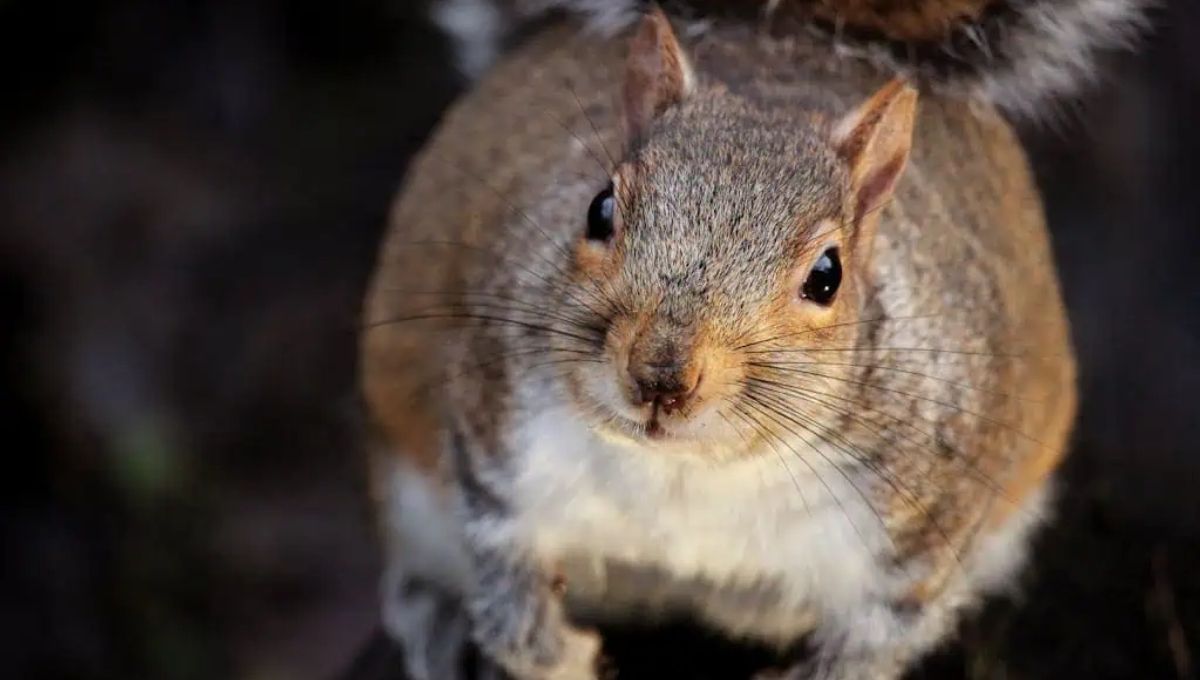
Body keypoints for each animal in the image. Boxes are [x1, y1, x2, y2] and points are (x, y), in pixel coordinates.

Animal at [360, 1, 1140, 678]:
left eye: (827, 276)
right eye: (599, 209)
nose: (661, 376)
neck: (690, 471)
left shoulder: (920, 538)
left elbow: (875, 642)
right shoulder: (495, 435)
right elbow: (505, 575)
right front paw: (553, 656)